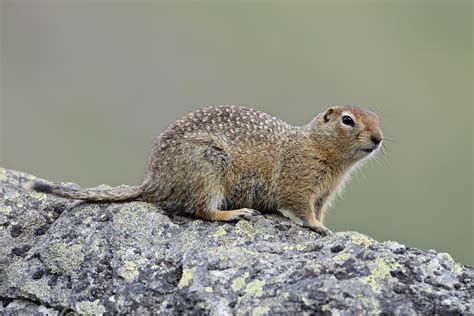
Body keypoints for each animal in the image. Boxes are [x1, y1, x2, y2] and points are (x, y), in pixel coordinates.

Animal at [27, 105, 382, 235]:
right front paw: (318, 228)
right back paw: (235, 213)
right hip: (208, 170)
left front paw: (323, 225)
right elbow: (301, 208)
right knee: (202, 210)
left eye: (378, 118)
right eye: (347, 120)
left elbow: (317, 209)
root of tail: (153, 181)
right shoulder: (300, 181)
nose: (378, 138)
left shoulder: (323, 194)